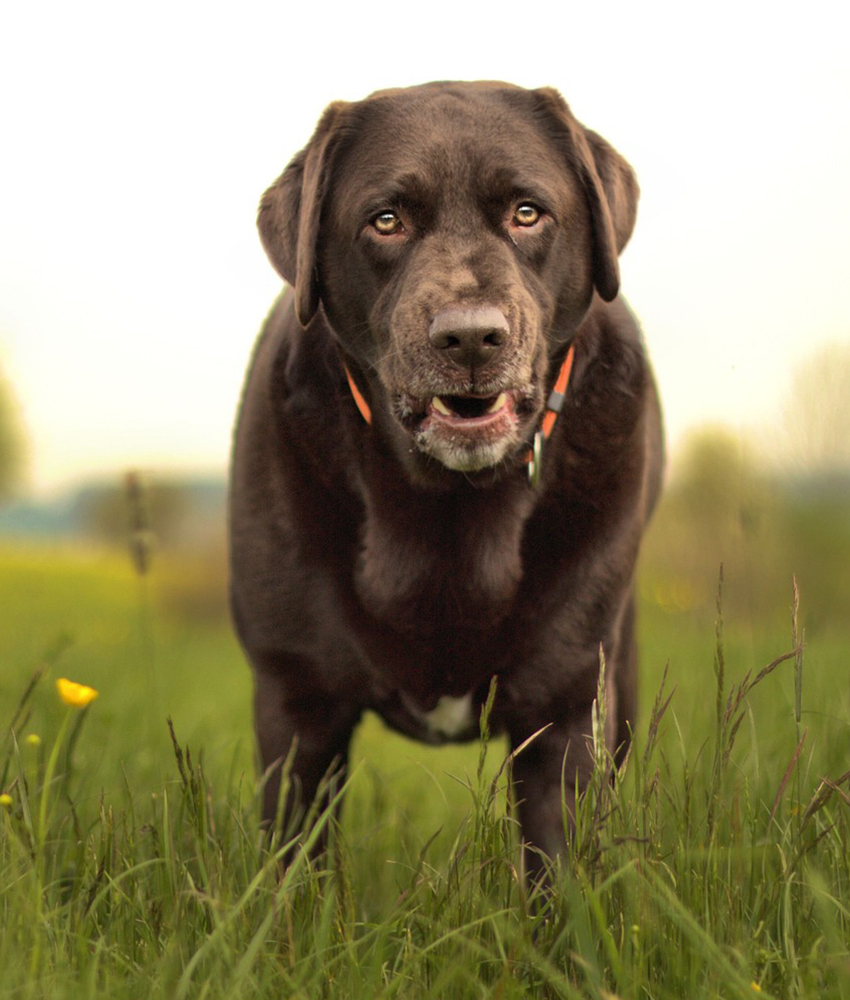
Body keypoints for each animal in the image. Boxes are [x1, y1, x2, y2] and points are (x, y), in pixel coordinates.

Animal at [230, 80, 664, 876]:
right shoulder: (296, 699)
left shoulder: (566, 706)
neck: (448, 508)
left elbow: (562, 876)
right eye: (386, 220)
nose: (469, 337)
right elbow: (290, 873)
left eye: (527, 212)